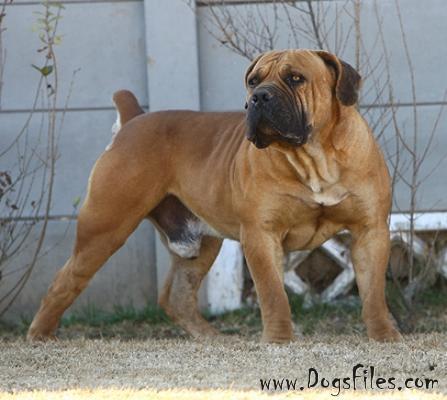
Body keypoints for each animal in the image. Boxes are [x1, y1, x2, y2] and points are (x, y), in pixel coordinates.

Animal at [27, 50, 402, 342]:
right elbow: (273, 294)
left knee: (176, 297)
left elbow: (374, 293)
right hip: (104, 228)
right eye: (253, 80)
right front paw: (279, 341)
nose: (259, 96)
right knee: (63, 282)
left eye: (296, 78)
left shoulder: (370, 231)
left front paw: (384, 336)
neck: (313, 158)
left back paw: (212, 338)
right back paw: (40, 335)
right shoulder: (261, 235)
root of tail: (134, 120)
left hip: (200, 244)